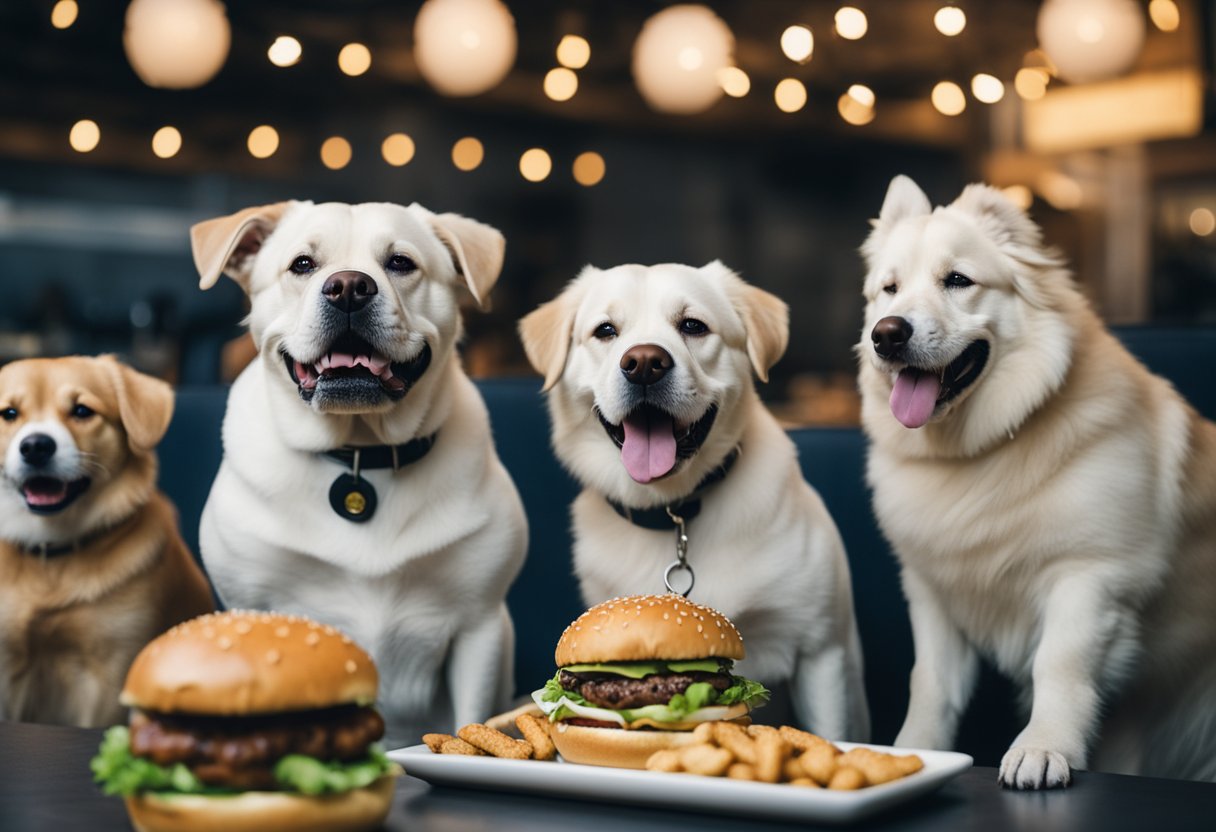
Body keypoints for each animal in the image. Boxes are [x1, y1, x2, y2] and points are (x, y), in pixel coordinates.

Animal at [190, 199, 527, 739]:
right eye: (303, 264)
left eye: (401, 263)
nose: (348, 286)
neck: (359, 453)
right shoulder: (253, 608)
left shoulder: (480, 627)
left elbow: (470, 720)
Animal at [522, 261, 875, 739]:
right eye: (605, 330)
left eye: (693, 326)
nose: (644, 363)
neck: (676, 509)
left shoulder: (823, 652)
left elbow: (831, 732)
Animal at [856, 173, 1216, 788]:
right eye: (889, 290)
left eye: (958, 280)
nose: (887, 334)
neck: (980, 451)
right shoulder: (935, 596)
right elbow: (929, 684)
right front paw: (912, 750)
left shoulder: (1089, 578)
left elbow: (1059, 666)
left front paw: (1045, 747)